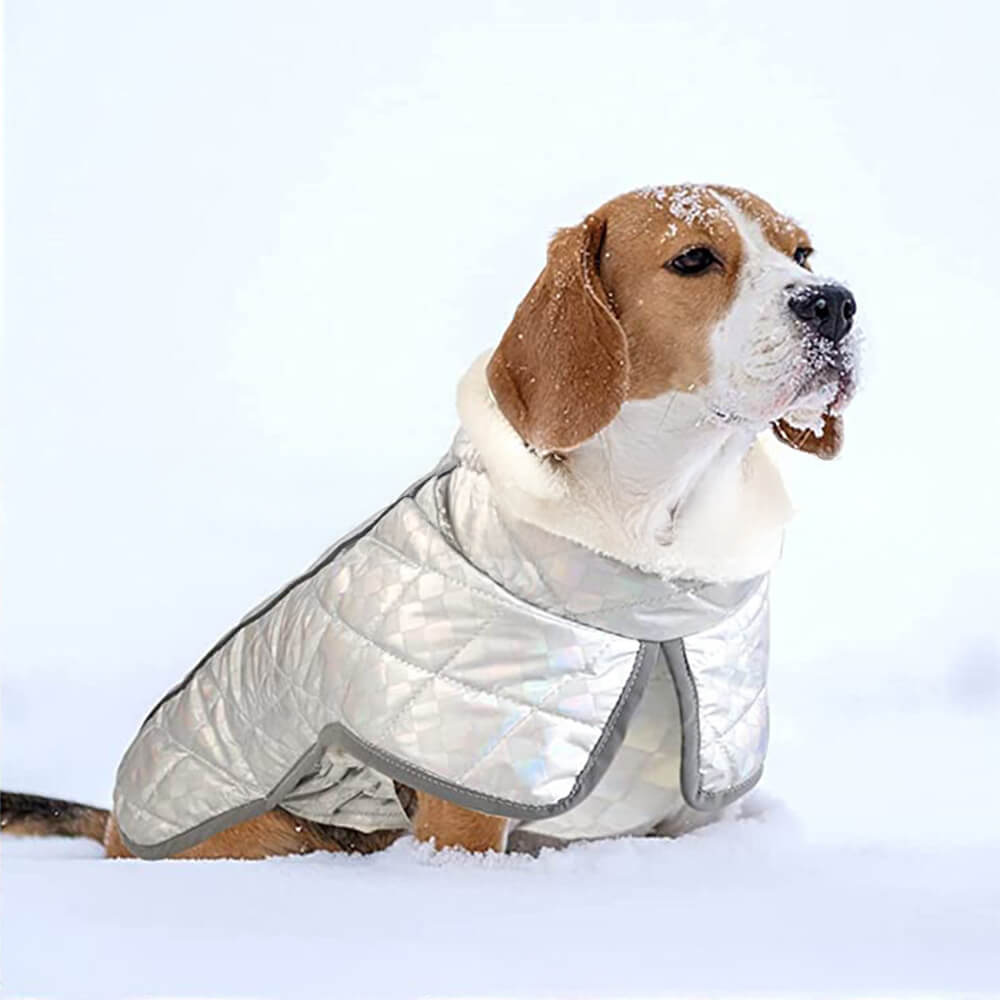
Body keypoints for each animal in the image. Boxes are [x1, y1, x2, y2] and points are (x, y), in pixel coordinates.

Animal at [0, 184, 860, 856]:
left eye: (802, 252)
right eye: (693, 260)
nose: (835, 303)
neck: (662, 537)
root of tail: (115, 827)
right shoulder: (468, 807)